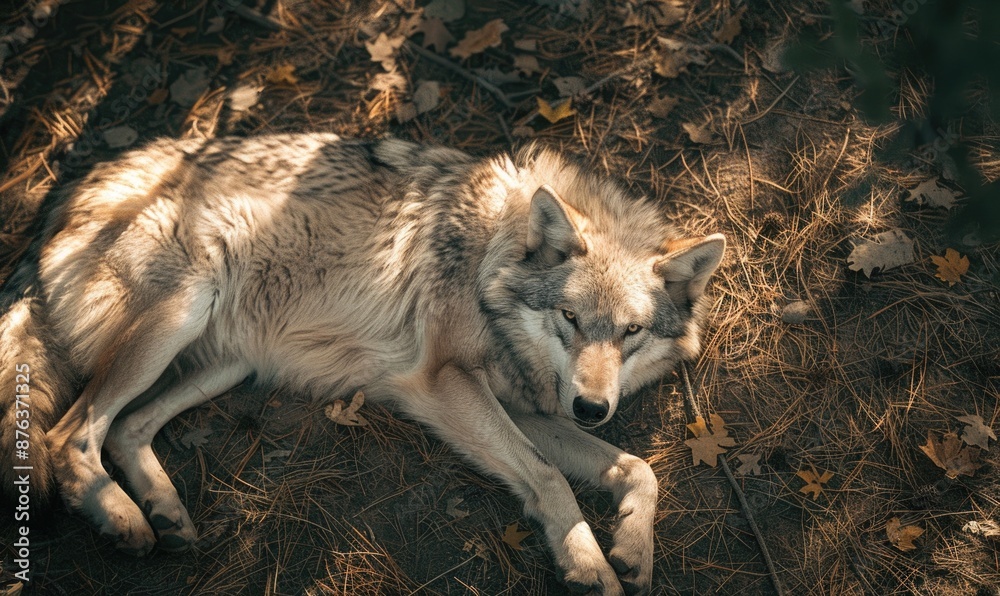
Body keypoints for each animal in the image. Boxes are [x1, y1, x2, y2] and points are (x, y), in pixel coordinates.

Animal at [0, 134, 724, 595]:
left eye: (631, 332)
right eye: (569, 319)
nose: (592, 408)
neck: (489, 255)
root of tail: (71, 192)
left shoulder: (522, 406)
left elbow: (638, 468)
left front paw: (632, 551)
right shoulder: (443, 385)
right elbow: (548, 477)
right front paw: (590, 566)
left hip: (226, 362)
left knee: (126, 428)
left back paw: (167, 514)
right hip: (180, 314)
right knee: (72, 434)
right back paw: (125, 522)